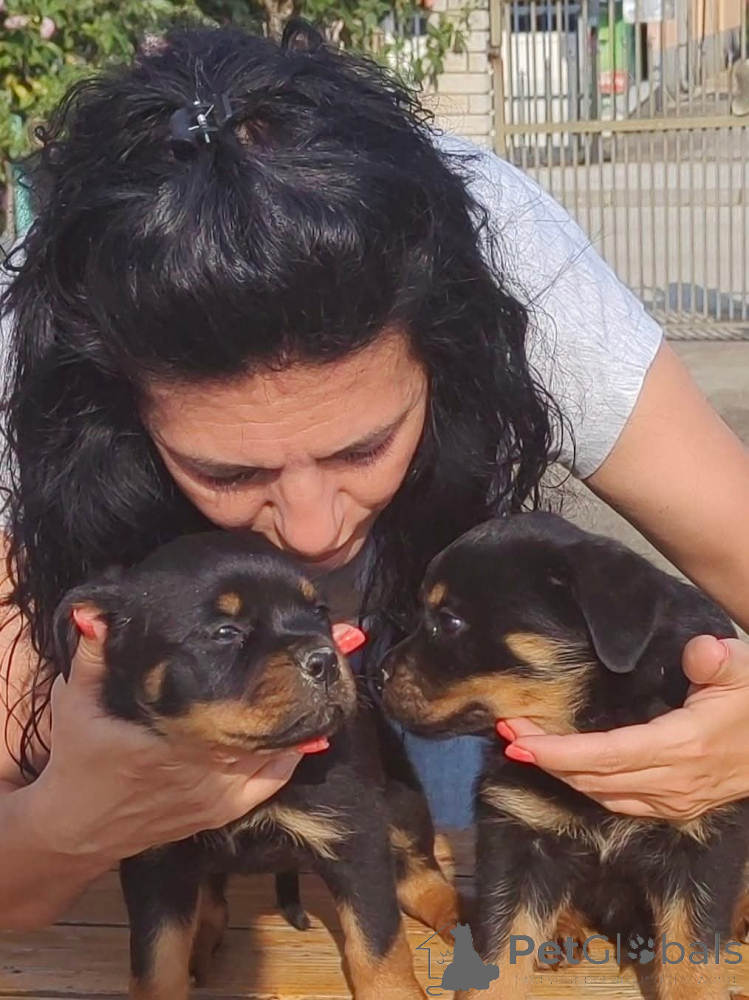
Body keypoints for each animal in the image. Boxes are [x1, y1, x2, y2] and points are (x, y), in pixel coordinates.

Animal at [53, 531, 460, 1000]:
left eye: (320, 613)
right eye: (226, 632)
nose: (325, 659)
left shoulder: (355, 834)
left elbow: (378, 943)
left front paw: (394, 989)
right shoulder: (155, 859)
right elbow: (156, 964)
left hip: (400, 797)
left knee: (418, 872)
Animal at [377, 511, 749, 1000]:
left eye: (450, 621)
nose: (378, 672)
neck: (595, 715)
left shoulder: (703, 836)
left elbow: (694, 959)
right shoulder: (517, 833)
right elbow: (501, 951)